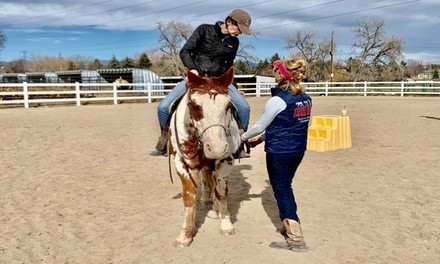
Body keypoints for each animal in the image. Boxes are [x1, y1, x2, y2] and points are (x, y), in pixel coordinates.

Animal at [168, 67, 241, 248]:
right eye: (195, 106)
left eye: (228, 105)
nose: (216, 148)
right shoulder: (183, 164)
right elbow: (189, 198)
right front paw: (185, 236)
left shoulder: (225, 161)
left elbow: (221, 192)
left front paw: (226, 224)